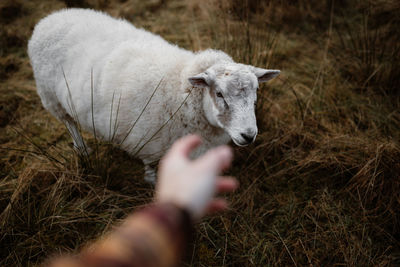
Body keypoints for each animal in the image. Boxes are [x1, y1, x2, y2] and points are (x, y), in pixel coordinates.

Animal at [27, 8, 282, 184]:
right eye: (219, 93)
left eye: (256, 92)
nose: (248, 135)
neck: (180, 88)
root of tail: (50, 18)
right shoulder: (148, 144)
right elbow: (150, 167)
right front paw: (153, 182)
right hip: (51, 96)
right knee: (69, 122)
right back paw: (82, 149)